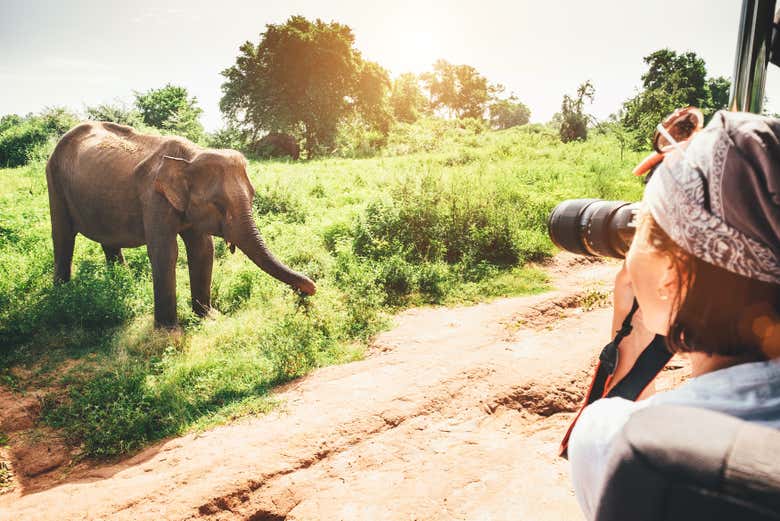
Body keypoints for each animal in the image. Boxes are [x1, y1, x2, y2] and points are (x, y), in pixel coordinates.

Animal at [46, 120, 316, 328]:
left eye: (253, 197)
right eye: (218, 204)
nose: (307, 290)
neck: (190, 157)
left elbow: (203, 250)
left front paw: (209, 317)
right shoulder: (154, 198)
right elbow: (165, 252)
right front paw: (169, 331)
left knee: (108, 240)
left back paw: (122, 283)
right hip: (54, 177)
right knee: (62, 235)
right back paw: (61, 295)